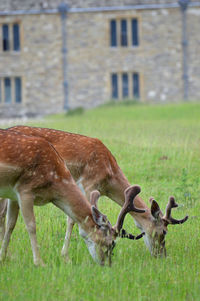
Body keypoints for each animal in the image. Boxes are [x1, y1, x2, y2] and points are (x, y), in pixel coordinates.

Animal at [0, 125, 188, 258]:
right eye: (162, 232)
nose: (161, 255)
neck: (109, 175)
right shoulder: (88, 184)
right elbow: (72, 220)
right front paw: (65, 255)